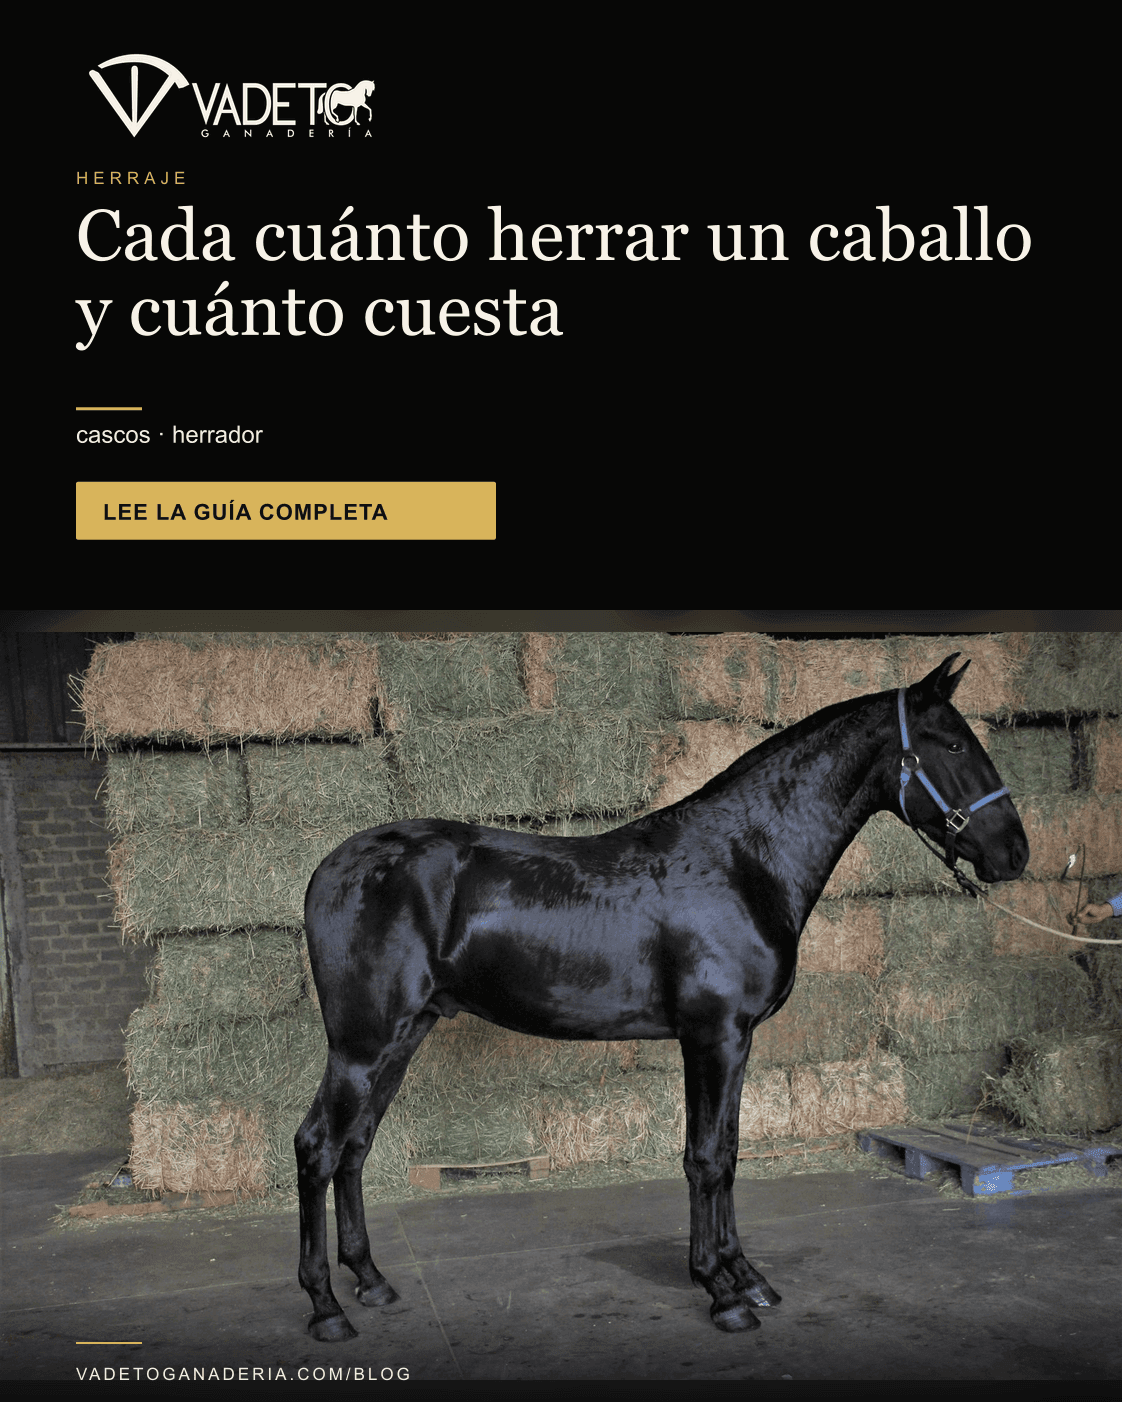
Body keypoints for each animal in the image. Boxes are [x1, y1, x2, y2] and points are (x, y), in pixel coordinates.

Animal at [295, 653, 1028, 1341]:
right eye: (954, 745)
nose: (1014, 854)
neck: (742, 859)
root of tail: (330, 867)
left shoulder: (733, 1040)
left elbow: (726, 1151)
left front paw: (745, 1277)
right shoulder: (714, 1036)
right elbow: (706, 1158)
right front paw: (723, 1293)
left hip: (404, 1035)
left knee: (355, 1147)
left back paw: (371, 1280)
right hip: (363, 1044)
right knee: (317, 1147)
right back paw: (326, 1309)